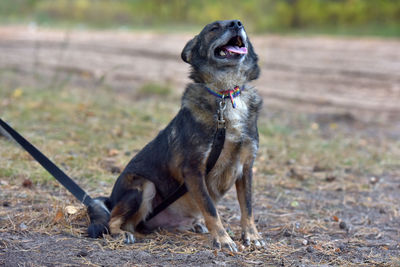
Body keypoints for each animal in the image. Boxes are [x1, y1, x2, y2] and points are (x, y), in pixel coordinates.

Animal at [87, 19, 262, 252]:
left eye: (240, 25)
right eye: (214, 28)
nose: (236, 23)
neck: (225, 95)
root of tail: (110, 200)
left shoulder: (246, 167)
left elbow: (248, 207)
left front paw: (251, 235)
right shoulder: (194, 170)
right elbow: (211, 209)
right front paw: (223, 239)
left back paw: (195, 225)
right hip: (143, 185)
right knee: (113, 221)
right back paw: (123, 234)